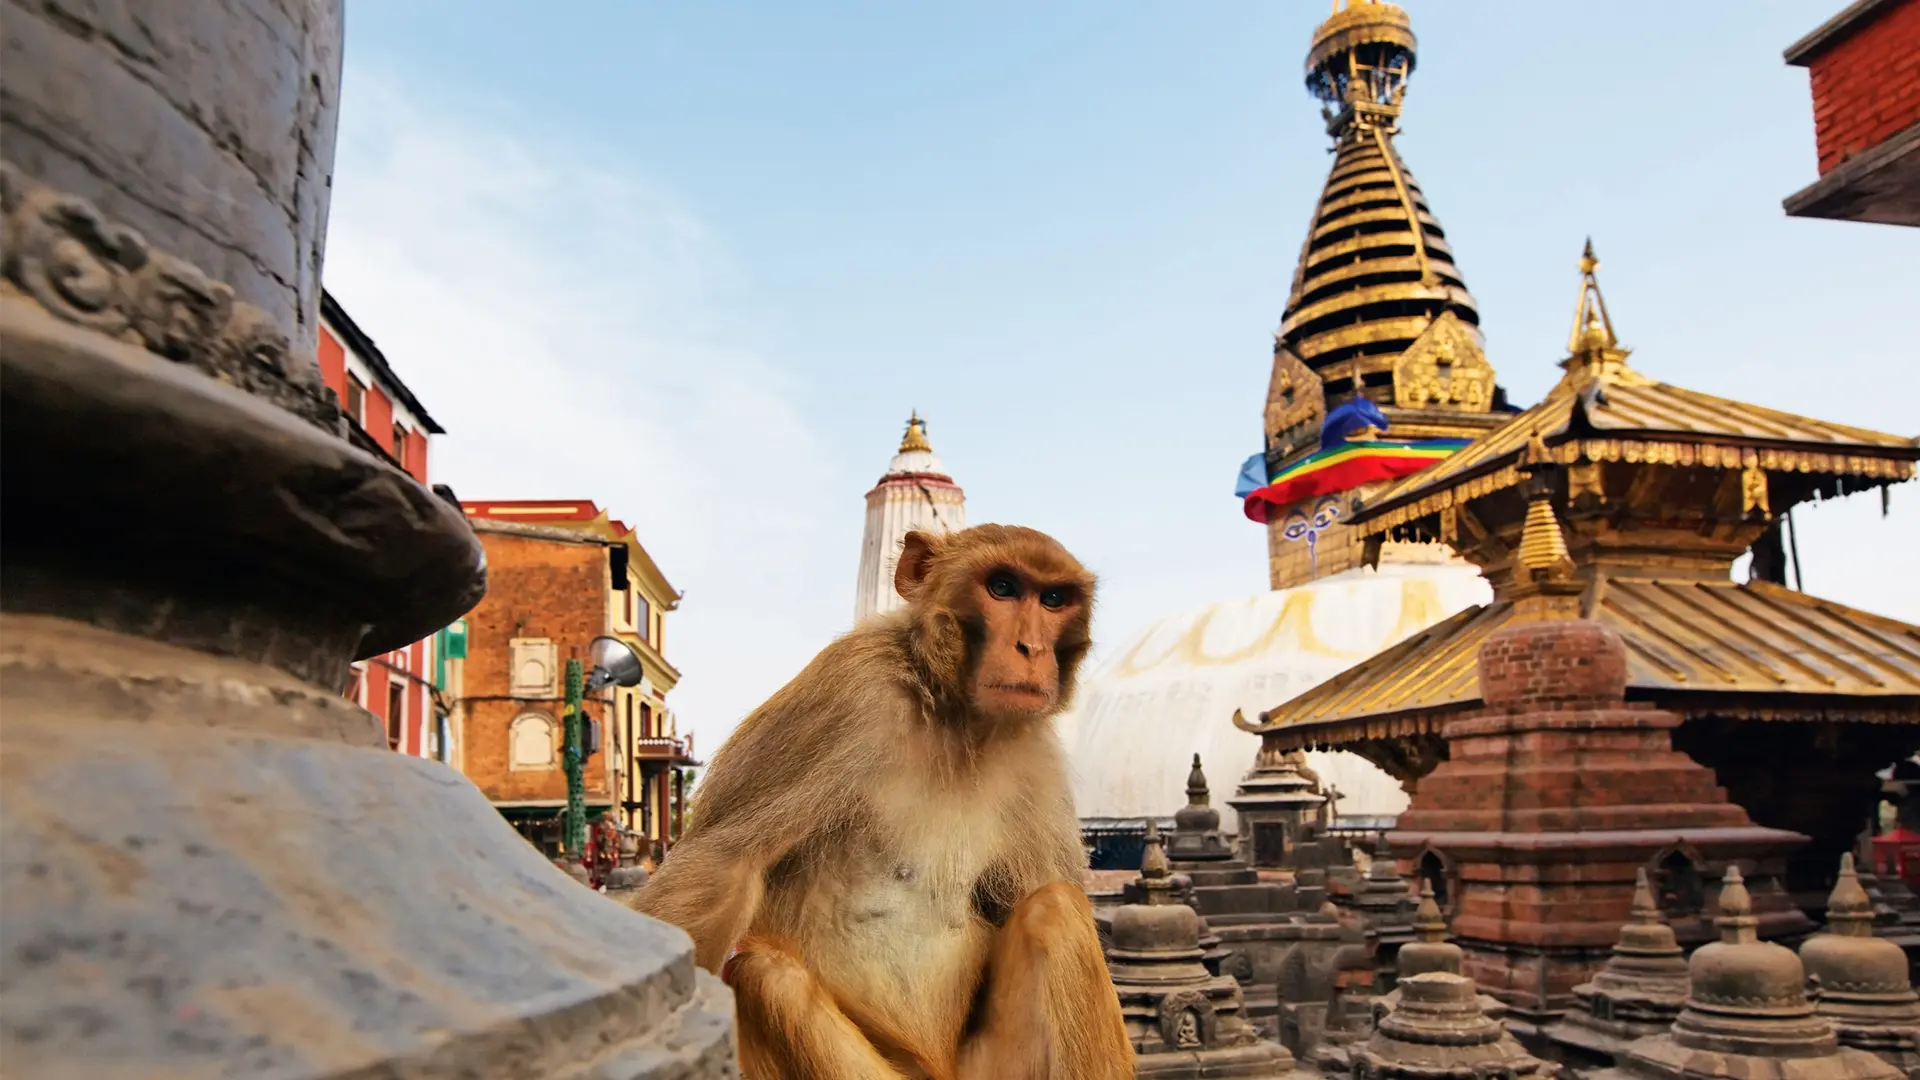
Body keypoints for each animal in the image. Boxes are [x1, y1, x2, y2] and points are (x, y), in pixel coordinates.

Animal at [634, 524, 1134, 1080]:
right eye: (1002, 587)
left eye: (1052, 599)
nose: (1031, 647)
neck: (955, 718)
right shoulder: (849, 688)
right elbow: (722, 864)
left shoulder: (1035, 755)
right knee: (764, 974)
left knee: (1055, 909)